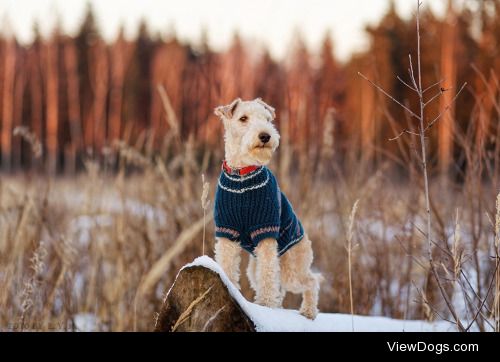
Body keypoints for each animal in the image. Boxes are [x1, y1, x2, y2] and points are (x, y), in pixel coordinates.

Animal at [213, 97, 322, 320]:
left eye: (267, 119)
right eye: (243, 118)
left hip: (292, 270)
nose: (265, 135)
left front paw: (265, 304)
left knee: (312, 281)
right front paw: (229, 288)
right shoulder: (227, 232)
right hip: (255, 268)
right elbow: (227, 266)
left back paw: (308, 311)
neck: (243, 175)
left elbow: (268, 275)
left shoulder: (266, 231)